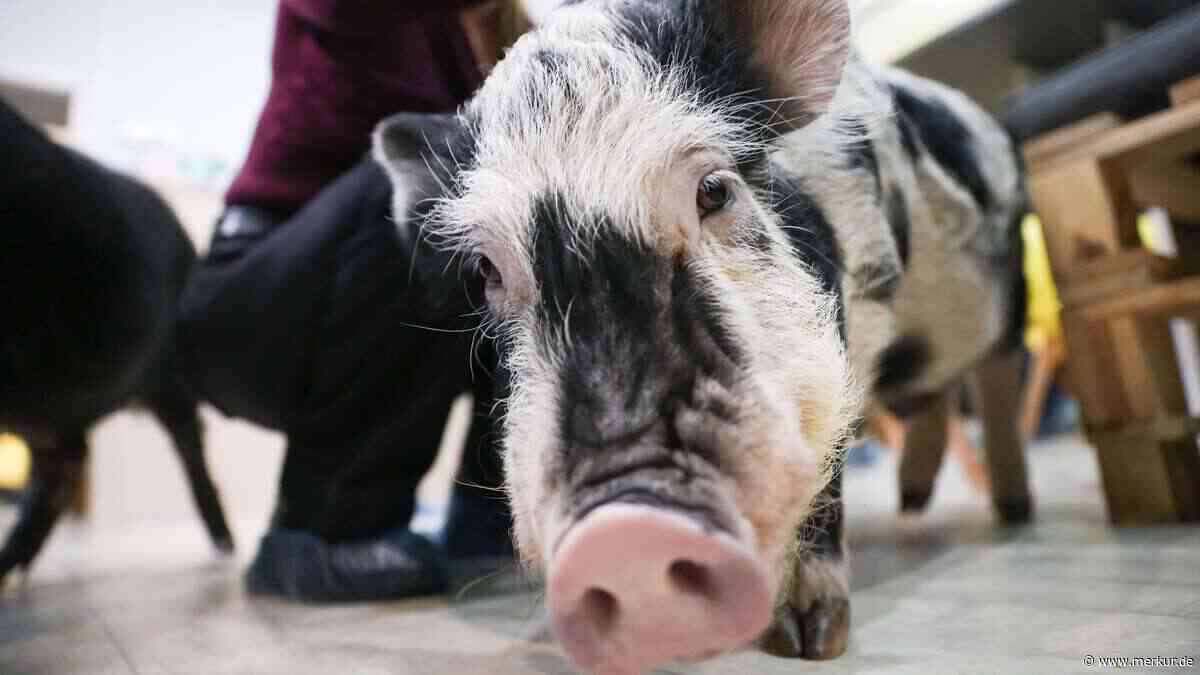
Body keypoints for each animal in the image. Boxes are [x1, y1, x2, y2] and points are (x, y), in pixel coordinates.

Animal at [0, 99, 233, 583]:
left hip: (169, 386)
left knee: (190, 447)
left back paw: (226, 544)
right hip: (47, 408)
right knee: (67, 459)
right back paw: (13, 562)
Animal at [372, 0, 1029, 672]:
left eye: (714, 190)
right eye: (485, 272)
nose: (625, 530)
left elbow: (826, 471)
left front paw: (809, 642)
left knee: (1001, 368)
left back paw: (1012, 515)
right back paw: (914, 504)